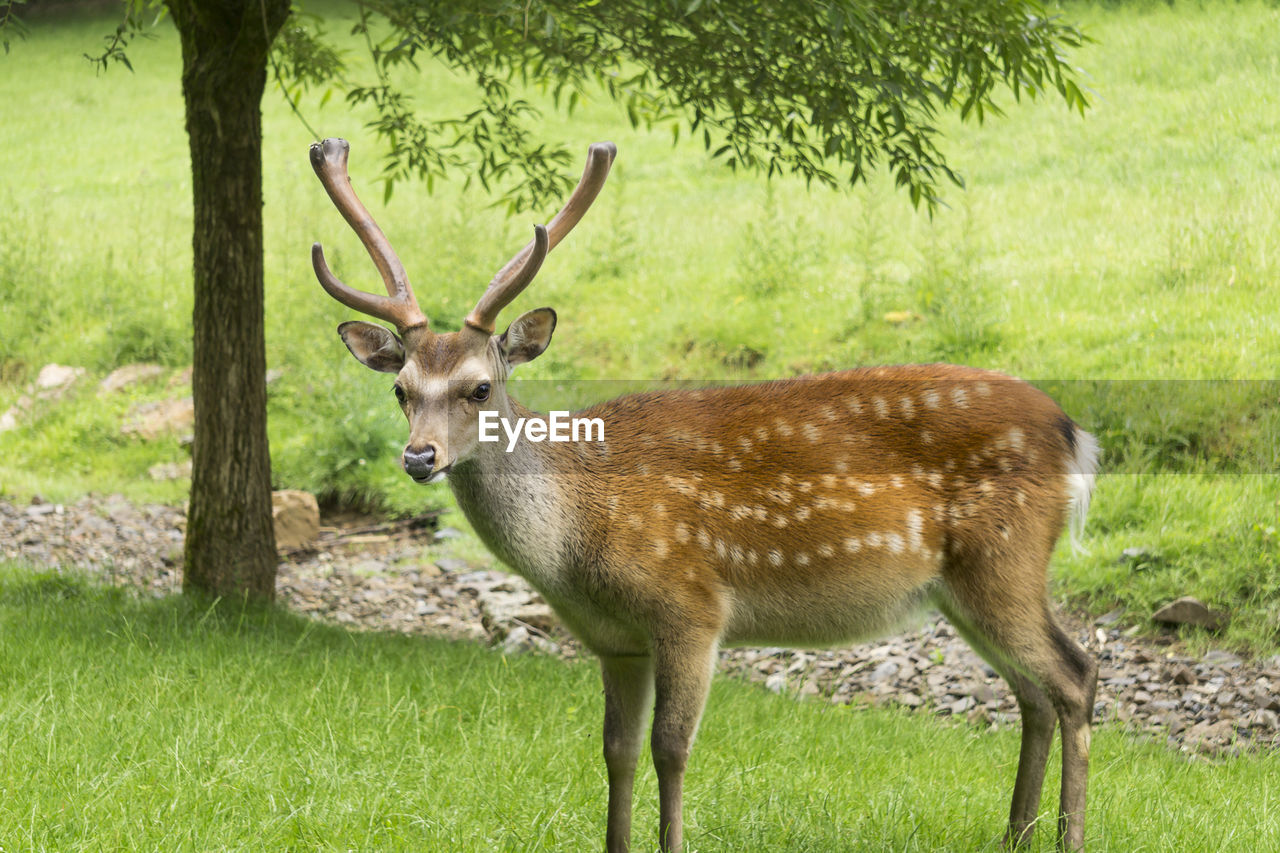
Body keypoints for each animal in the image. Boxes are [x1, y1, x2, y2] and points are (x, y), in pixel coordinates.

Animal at [309, 136, 1100, 845]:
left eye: (479, 387)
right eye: (401, 389)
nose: (419, 457)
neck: (575, 543)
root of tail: (1073, 433)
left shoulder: (690, 606)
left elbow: (671, 747)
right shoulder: (614, 641)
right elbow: (616, 751)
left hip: (1005, 556)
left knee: (1074, 674)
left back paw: (1067, 837)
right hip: (961, 586)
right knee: (1031, 692)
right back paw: (1015, 836)